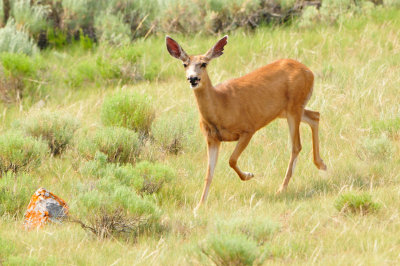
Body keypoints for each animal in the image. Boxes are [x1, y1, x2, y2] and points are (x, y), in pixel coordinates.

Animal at [166, 35, 328, 211]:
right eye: (184, 64)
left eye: (204, 63)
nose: (193, 78)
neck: (221, 105)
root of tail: (309, 72)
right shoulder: (212, 138)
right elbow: (209, 173)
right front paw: (200, 205)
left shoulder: (248, 128)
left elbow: (231, 160)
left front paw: (249, 175)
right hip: (287, 110)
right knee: (315, 116)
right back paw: (321, 164)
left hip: (294, 106)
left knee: (296, 145)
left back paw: (282, 188)